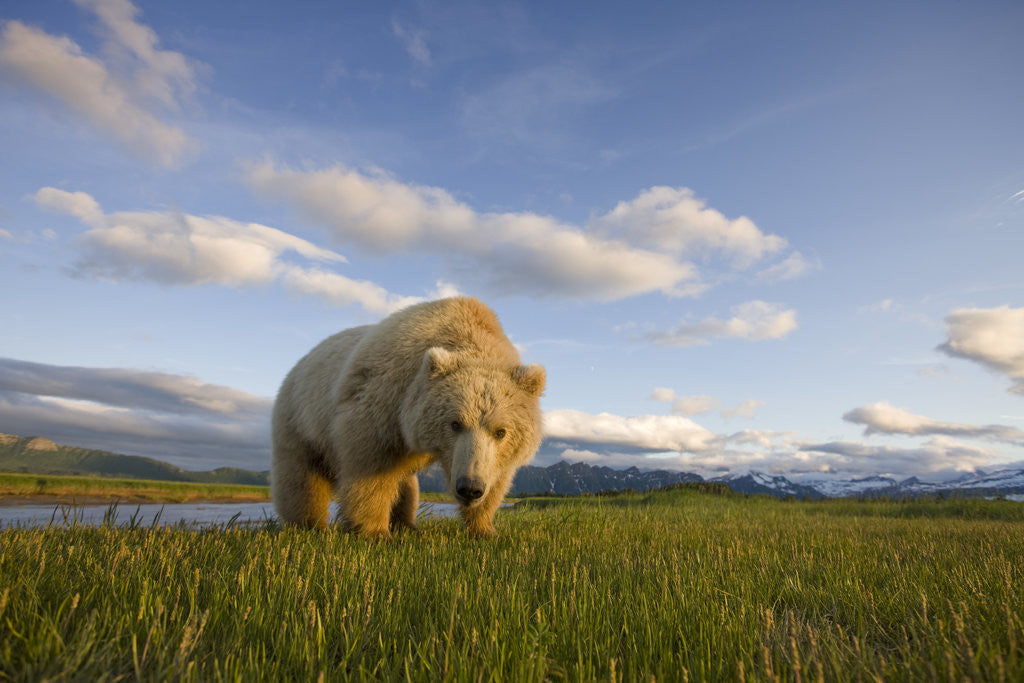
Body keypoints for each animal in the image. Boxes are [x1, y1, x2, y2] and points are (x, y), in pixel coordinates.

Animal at [271, 297, 546, 538]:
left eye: (501, 431)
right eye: (455, 423)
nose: (469, 488)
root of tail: (300, 363)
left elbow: (497, 478)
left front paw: (485, 528)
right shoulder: (384, 403)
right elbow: (370, 468)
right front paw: (373, 532)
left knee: (406, 484)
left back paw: (408, 525)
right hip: (301, 419)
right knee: (301, 479)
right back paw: (308, 525)